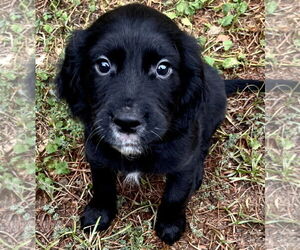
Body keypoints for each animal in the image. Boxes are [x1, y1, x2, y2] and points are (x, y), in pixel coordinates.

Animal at [55, 2, 262, 245]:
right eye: (103, 65)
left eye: (163, 68)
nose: (127, 123)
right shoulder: (96, 150)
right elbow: (102, 183)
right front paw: (98, 214)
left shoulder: (183, 161)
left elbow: (175, 195)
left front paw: (170, 224)